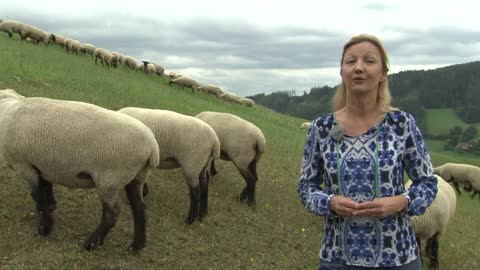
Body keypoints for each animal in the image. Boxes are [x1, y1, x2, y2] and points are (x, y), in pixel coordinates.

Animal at [0, 89, 161, 252]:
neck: (7, 110)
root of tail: (152, 148)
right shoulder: (41, 165)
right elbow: (45, 188)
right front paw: (50, 208)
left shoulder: (23, 165)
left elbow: (37, 194)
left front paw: (44, 228)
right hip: (136, 178)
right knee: (140, 209)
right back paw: (136, 246)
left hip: (110, 180)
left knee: (112, 214)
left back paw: (91, 243)